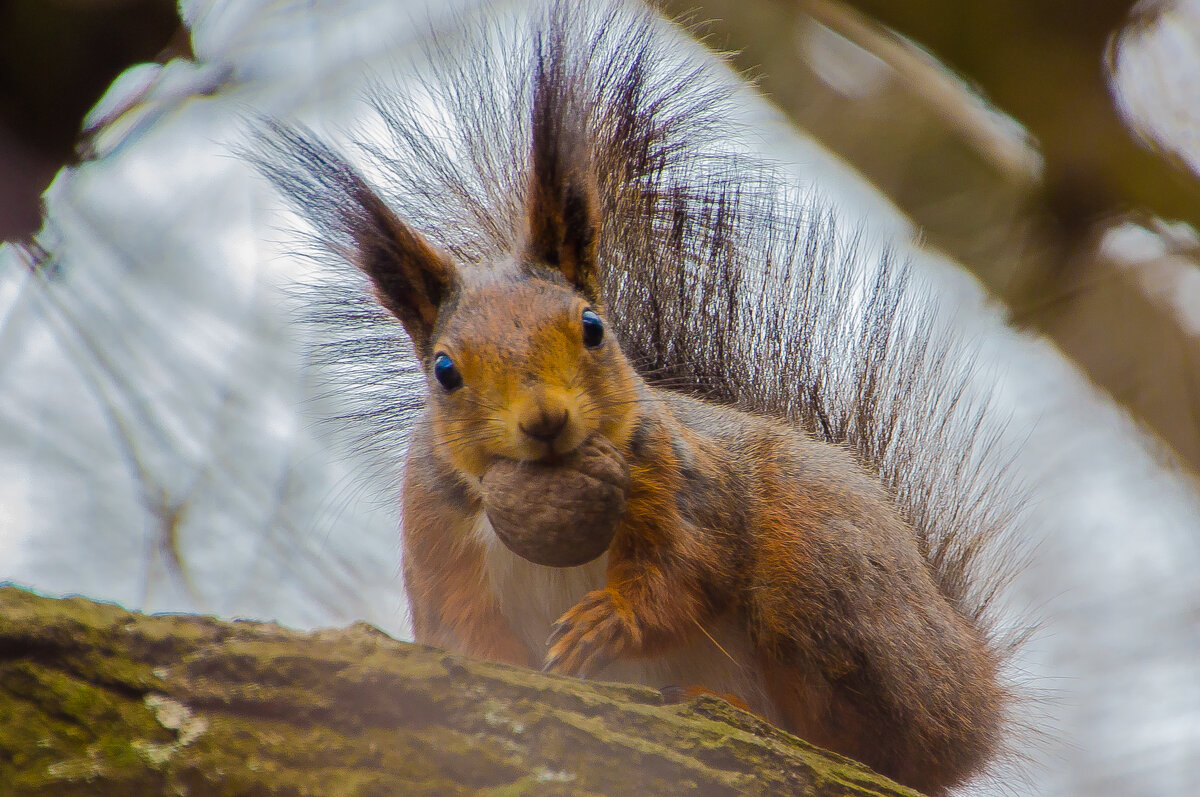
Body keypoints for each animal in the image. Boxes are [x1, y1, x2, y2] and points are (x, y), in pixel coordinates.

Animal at [253, 3, 1022, 792]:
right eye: (444, 371)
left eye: (593, 327)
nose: (545, 420)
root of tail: (973, 694)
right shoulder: (436, 537)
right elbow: (463, 629)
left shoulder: (683, 479)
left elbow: (687, 570)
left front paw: (614, 621)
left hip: (824, 565)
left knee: (862, 739)